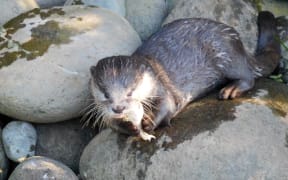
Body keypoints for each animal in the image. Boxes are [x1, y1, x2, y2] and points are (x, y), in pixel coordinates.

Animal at [86, 11, 280, 141]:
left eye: (131, 91)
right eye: (105, 93)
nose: (118, 108)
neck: (151, 75)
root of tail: (239, 43)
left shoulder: (161, 87)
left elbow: (167, 106)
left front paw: (149, 123)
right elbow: (112, 123)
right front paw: (129, 126)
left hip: (226, 54)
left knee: (248, 75)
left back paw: (231, 89)